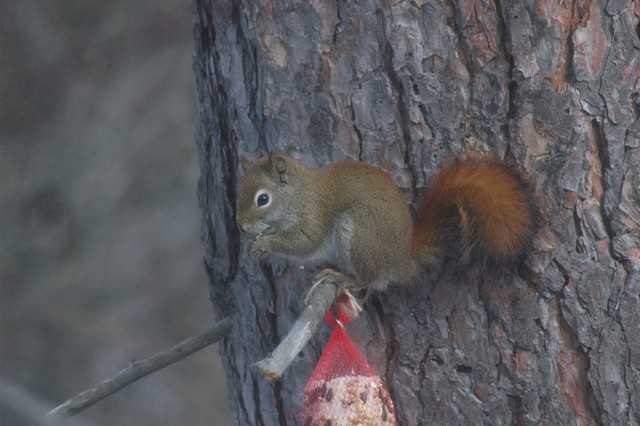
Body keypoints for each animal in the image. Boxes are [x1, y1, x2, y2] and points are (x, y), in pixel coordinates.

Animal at [236, 152, 540, 301]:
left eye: (263, 199)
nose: (241, 226)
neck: (299, 194)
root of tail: (402, 255)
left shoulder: (314, 215)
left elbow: (304, 242)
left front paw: (265, 245)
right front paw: (254, 244)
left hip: (361, 233)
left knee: (367, 280)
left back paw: (343, 278)